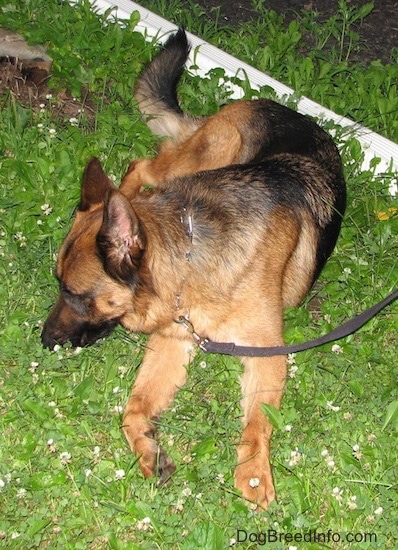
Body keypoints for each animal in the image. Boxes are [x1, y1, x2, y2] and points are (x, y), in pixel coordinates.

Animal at [41, 30, 346, 512]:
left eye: (74, 293)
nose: (44, 340)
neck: (189, 259)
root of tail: (279, 106)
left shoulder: (266, 353)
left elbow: (257, 424)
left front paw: (254, 473)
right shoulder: (173, 338)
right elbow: (131, 409)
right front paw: (148, 446)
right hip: (208, 155)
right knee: (142, 166)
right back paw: (121, 194)